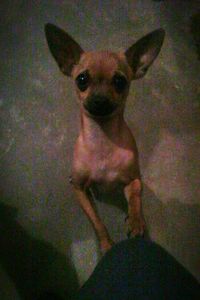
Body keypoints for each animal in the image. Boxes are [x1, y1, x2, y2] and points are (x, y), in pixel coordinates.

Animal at [44, 24, 165, 253]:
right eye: (81, 80)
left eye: (120, 82)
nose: (99, 99)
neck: (102, 139)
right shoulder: (79, 190)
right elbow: (97, 221)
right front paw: (106, 244)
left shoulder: (134, 179)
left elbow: (136, 197)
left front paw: (136, 221)